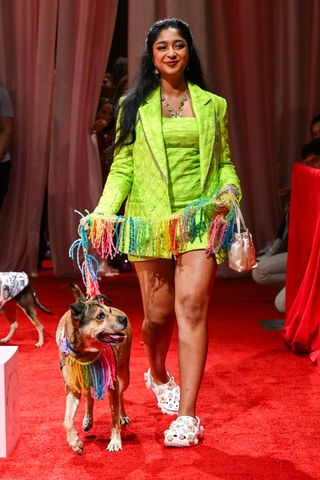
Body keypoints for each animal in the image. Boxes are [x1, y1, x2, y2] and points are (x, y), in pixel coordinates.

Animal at [56, 284, 131, 454]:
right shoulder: (72, 387)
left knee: (121, 394)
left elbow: (114, 415)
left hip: (124, 375)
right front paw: (74, 442)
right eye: (100, 316)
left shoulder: (113, 384)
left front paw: (115, 441)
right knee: (89, 398)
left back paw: (123, 415)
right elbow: (66, 421)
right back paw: (87, 419)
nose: (124, 319)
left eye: (109, 311)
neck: (85, 354)